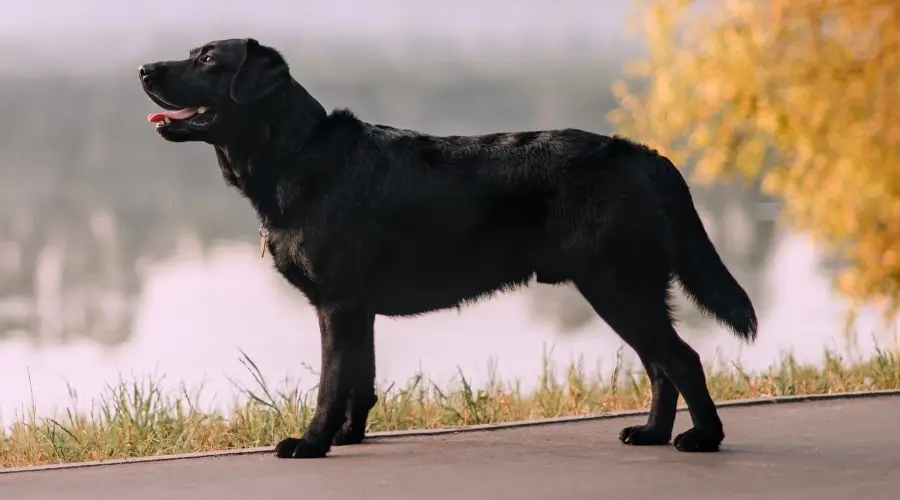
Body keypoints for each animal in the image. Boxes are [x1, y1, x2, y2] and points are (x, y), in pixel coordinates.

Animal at [141, 39, 760, 458]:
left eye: (208, 60)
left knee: (681, 359)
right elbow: (359, 380)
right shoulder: (357, 309)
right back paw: (652, 434)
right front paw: (349, 437)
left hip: (617, 284)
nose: (145, 69)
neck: (299, 156)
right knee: (660, 365)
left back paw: (703, 438)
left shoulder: (336, 305)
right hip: (621, 288)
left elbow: (330, 382)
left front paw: (312, 442)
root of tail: (639, 152)